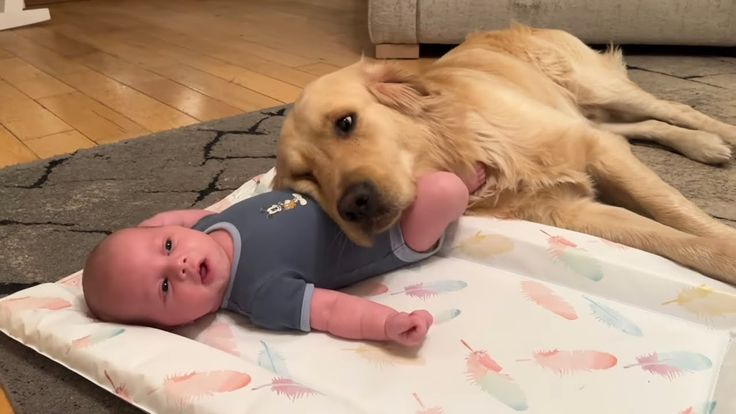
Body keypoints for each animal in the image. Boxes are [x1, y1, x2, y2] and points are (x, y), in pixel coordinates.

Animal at [272, 24, 736, 286]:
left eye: (345, 122)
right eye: (307, 180)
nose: (354, 205)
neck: (474, 156)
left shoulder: (596, 150)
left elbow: (677, 212)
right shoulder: (571, 210)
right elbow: (669, 239)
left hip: (595, 87)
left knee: (674, 108)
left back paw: (720, 135)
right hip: (590, 113)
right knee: (642, 127)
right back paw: (703, 145)